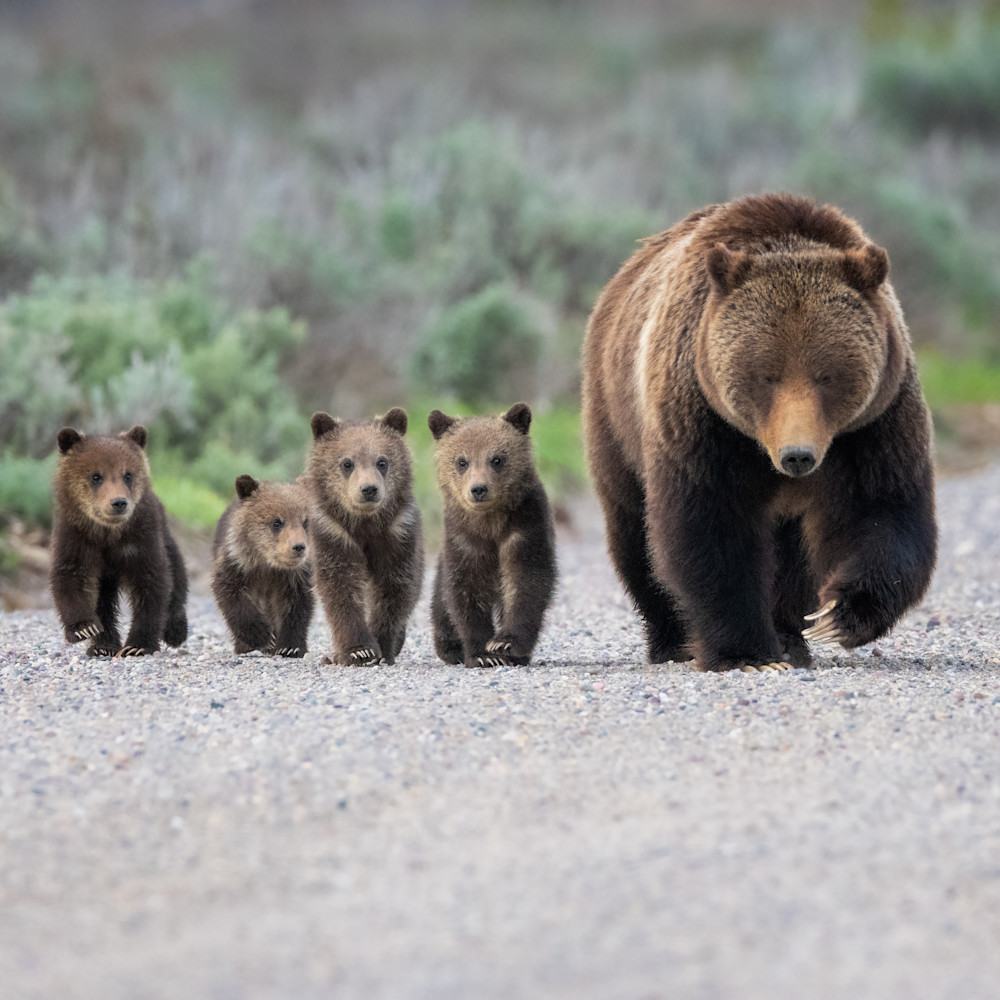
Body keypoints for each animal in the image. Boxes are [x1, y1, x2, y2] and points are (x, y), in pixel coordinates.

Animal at [580, 194, 936, 672]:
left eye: (827, 376)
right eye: (767, 375)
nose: (797, 455)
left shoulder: (873, 424)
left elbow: (881, 510)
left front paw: (836, 616)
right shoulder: (704, 420)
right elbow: (710, 524)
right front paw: (747, 654)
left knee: (791, 550)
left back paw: (791, 635)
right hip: (615, 417)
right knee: (633, 530)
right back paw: (672, 640)